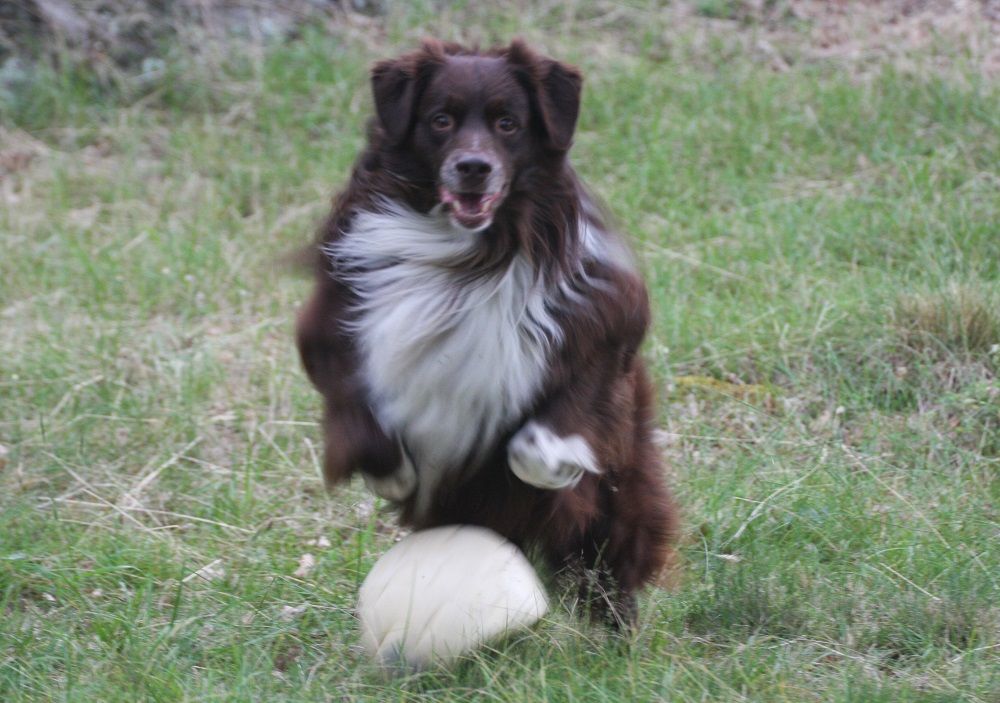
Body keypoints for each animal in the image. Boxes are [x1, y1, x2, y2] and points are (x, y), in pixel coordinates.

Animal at [292, 38, 676, 624]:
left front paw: (554, 463)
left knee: (610, 558)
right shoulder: (338, 320)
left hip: (625, 493)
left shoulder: (602, 322)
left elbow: (552, 423)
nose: (473, 167)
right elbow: (358, 405)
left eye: (508, 123)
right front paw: (392, 471)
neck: (472, 255)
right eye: (440, 119)